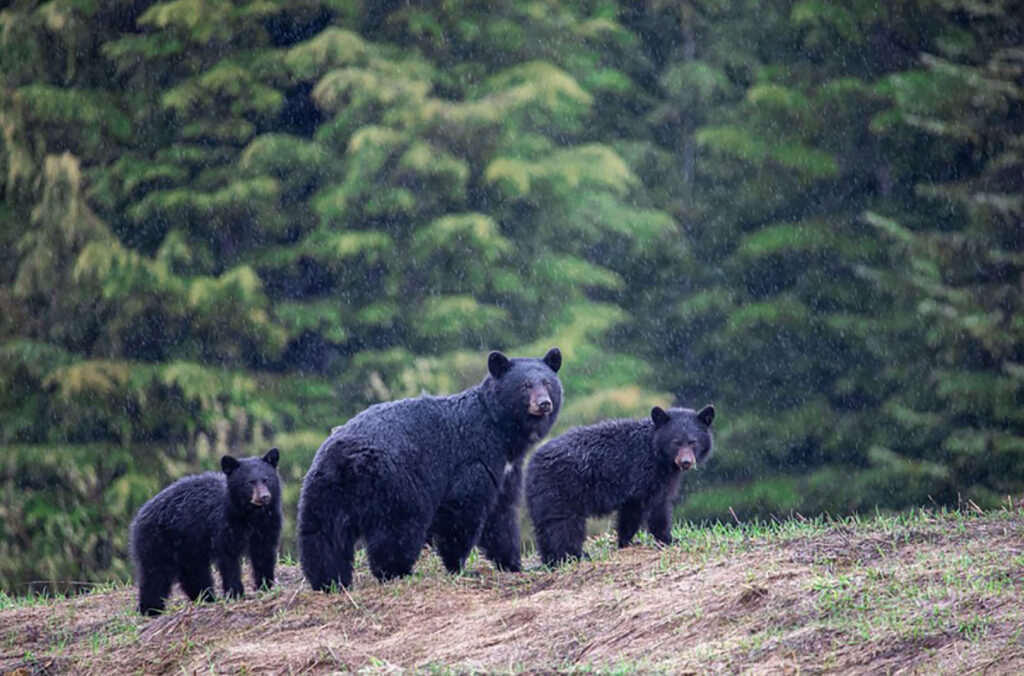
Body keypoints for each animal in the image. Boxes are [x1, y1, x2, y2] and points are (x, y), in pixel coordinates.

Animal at [133, 448, 284, 618]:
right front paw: (236, 593)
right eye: (249, 482)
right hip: (158, 541)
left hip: (189, 547)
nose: (264, 497)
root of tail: (139, 516)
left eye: (266, 480)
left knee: (195, 573)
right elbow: (228, 558)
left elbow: (263, 553)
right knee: (155, 575)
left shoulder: (268, 524)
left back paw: (206, 598)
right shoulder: (224, 524)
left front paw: (265, 586)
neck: (251, 515)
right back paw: (151, 609)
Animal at [299, 350, 565, 589]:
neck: (502, 432)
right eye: (525, 386)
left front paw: (513, 565)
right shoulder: (476, 457)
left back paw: (329, 581)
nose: (544, 403)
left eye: (547, 383)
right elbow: (464, 509)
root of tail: (347, 457)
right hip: (396, 481)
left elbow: (502, 514)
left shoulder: (507, 470)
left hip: (323, 490)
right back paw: (397, 572)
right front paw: (460, 567)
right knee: (398, 529)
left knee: (322, 536)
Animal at [528, 407, 712, 565]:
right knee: (564, 526)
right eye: (676, 443)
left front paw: (625, 542)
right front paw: (668, 539)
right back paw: (574, 556)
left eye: (693, 442)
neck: (656, 453)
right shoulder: (644, 474)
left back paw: (551, 560)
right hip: (563, 490)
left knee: (545, 528)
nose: (686, 462)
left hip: (543, 498)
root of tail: (532, 465)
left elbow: (630, 512)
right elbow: (656, 506)